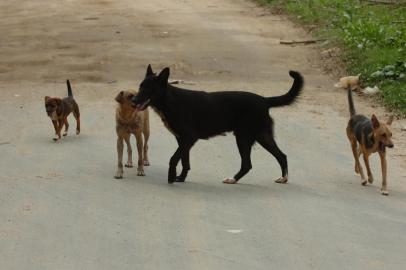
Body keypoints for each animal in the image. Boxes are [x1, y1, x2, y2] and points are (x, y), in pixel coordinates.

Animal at [132, 64, 302, 185]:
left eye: (148, 88)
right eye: (140, 86)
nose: (133, 100)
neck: (170, 100)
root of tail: (265, 100)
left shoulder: (189, 138)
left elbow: (174, 158)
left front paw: (171, 177)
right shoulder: (182, 140)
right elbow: (185, 161)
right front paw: (181, 178)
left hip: (243, 137)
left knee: (248, 163)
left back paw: (233, 179)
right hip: (261, 135)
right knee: (281, 156)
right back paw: (282, 178)